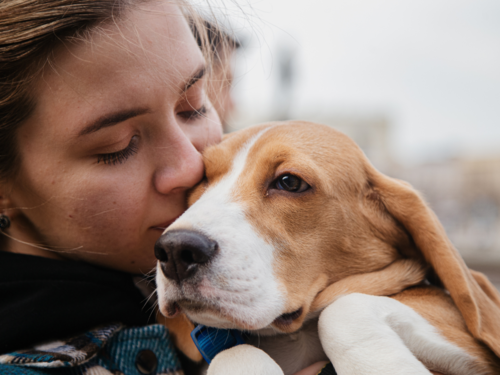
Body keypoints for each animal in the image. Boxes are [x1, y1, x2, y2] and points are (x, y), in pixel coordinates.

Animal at [155, 122, 500, 375]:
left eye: (290, 182)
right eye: (202, 179)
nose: (175, 250)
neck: (295, 336)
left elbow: (342, 309)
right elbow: (235, 352)